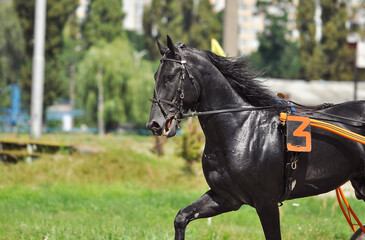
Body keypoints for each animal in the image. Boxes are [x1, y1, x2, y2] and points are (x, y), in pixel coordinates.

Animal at [146, 36, 364, 240]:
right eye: (156, 75)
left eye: (170, 76)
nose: (154, 124)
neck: (241, 130)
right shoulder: (226, 197)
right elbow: (181, 217)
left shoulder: (266, 202)